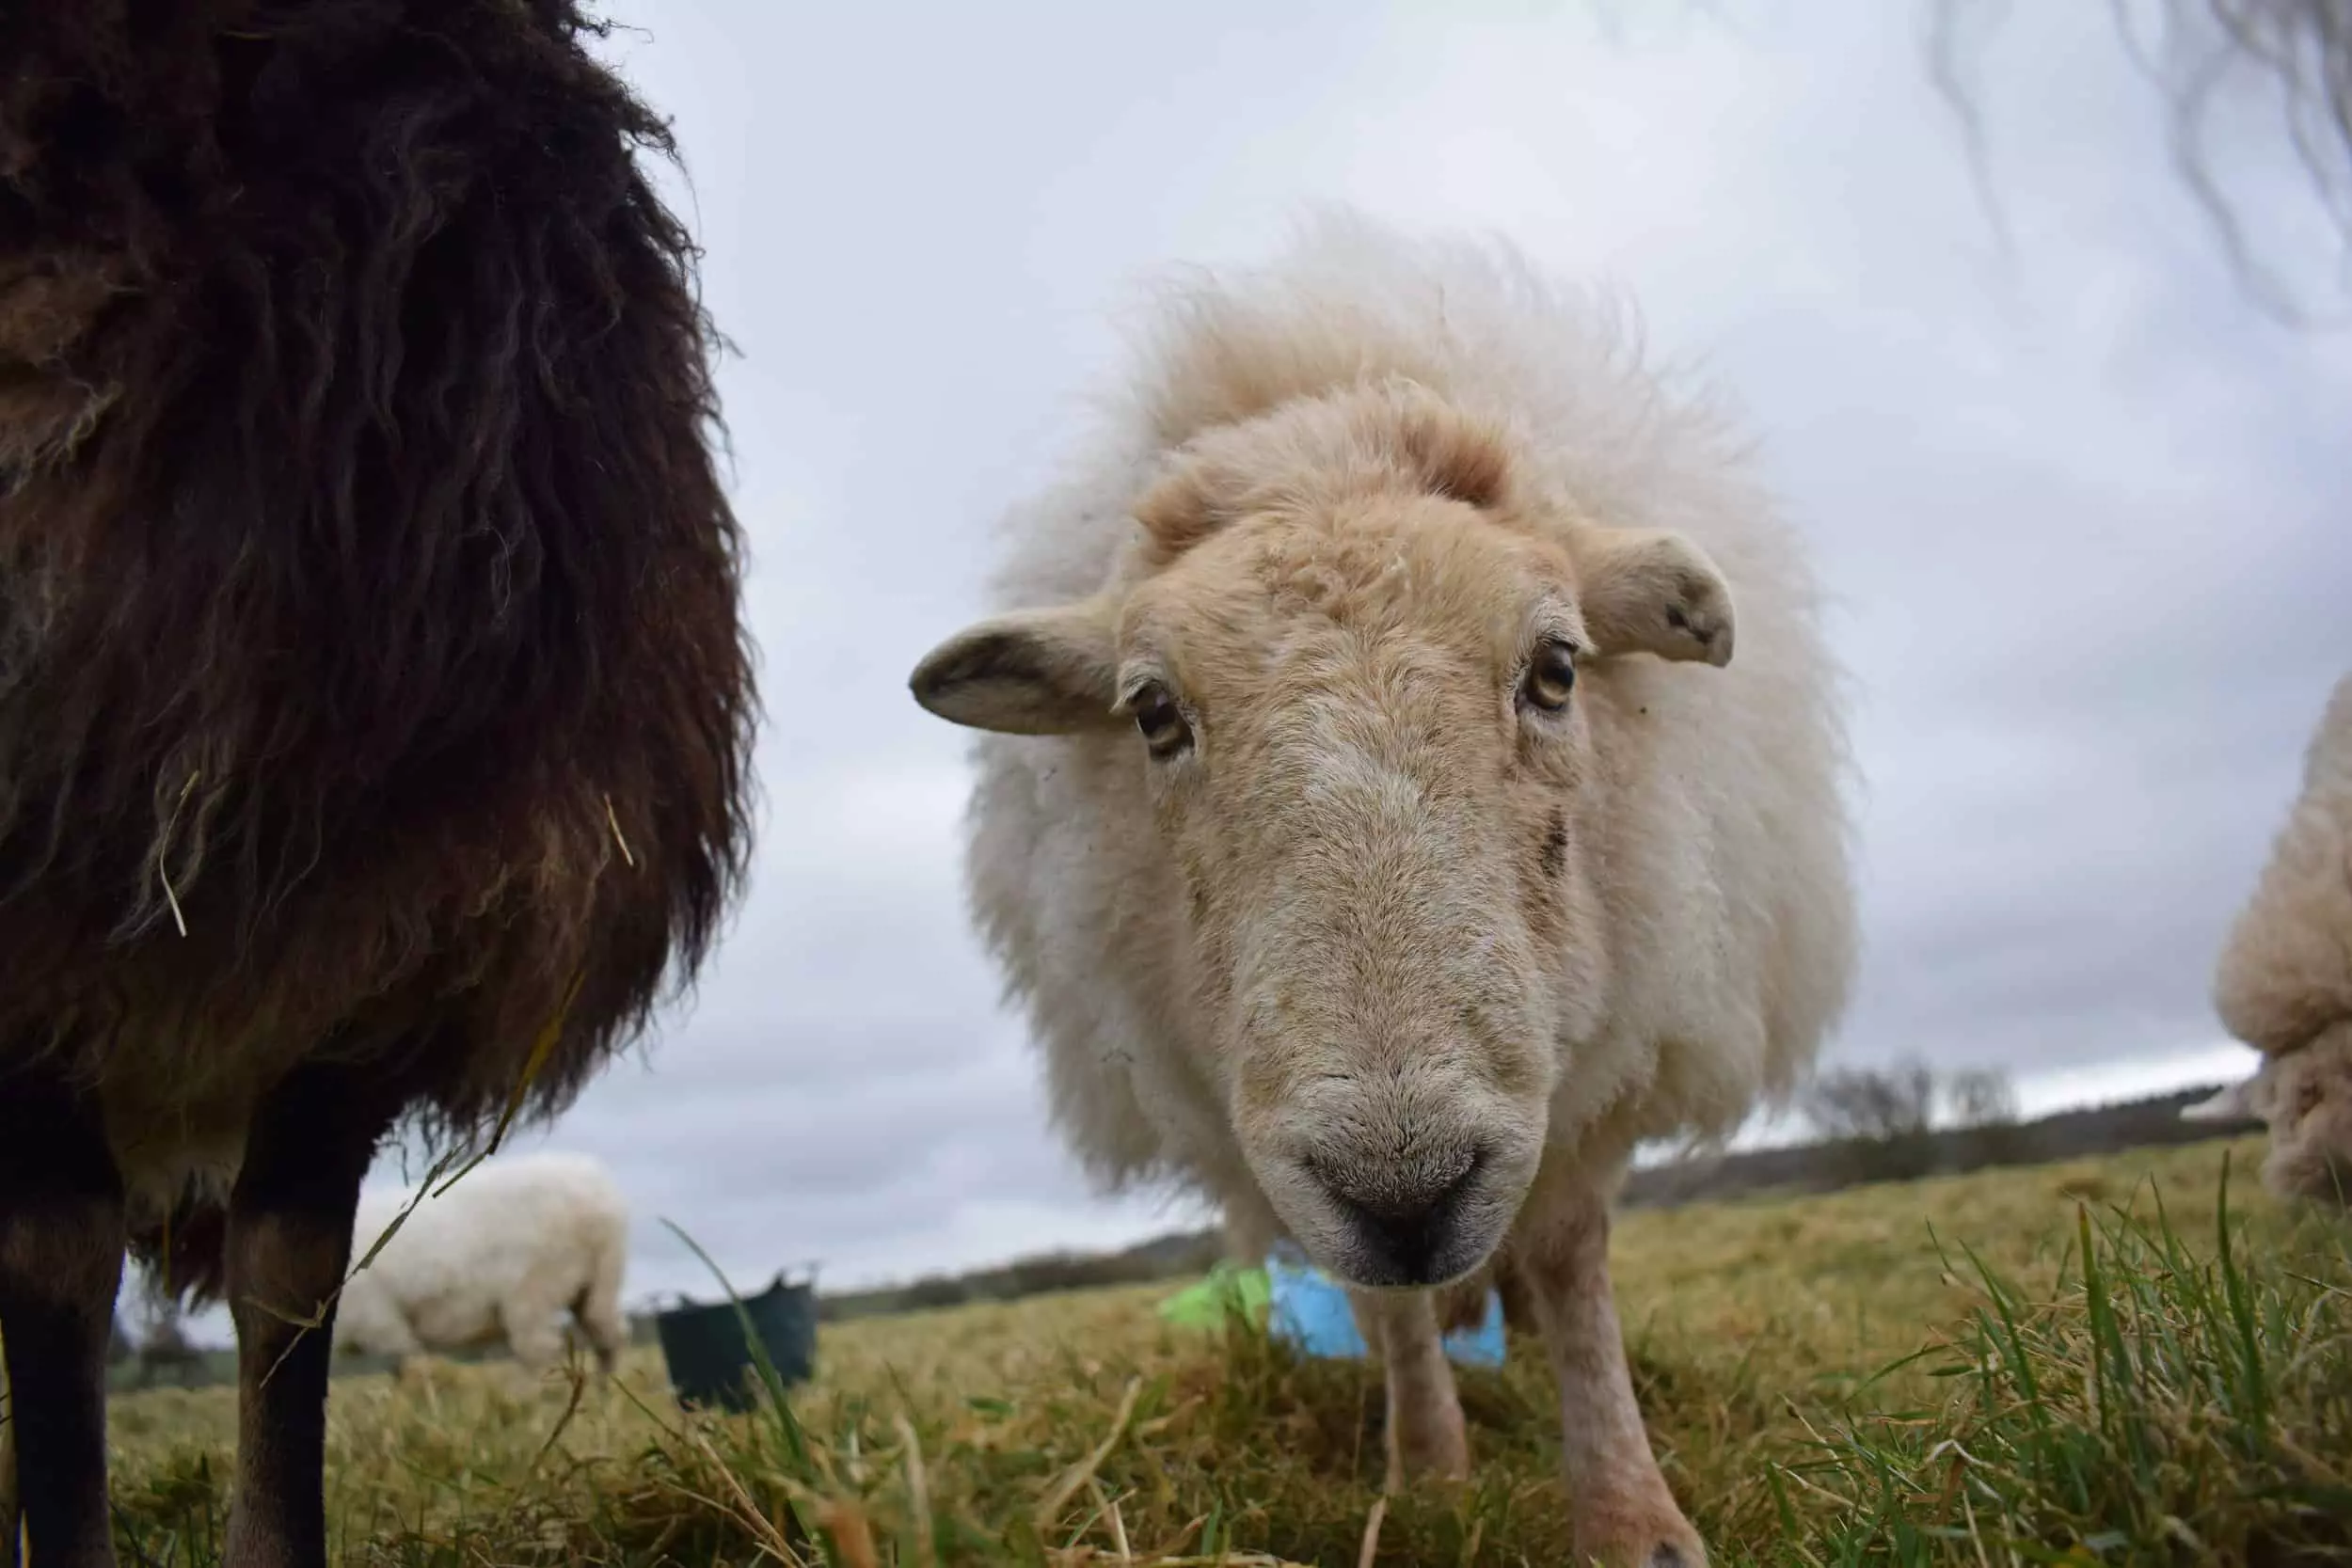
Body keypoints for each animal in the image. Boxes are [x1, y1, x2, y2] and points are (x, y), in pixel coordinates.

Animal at [331, 1151, 630, 1372]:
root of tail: (598, 1193)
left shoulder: (381, 1325)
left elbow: (414, 1372)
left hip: (536, 1286)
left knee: (539, 1350)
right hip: (600, 1279)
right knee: (608, 1334)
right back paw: (606, 1396)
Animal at [908, 211, 1863, 1568]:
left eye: (1556, 667)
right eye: (1151, 713)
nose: (1406, 1191)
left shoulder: (1599, 1053)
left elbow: (1568, 1256)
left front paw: (1631, 1518)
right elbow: (1389, 1306)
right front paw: (1426, 1478)